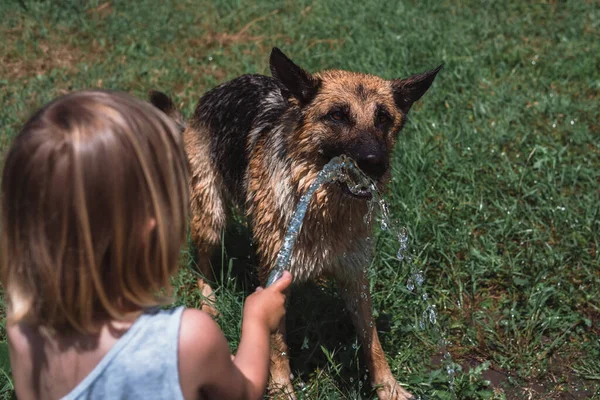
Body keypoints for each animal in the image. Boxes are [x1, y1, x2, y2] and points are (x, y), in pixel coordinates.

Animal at [150, 48, 440, 398]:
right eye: (337, 116)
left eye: (383, 118)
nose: (375, 163)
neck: (323, 206)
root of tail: (214, 92)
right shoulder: (275, 276)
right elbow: (277, 344)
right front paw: (281, 388)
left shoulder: (355, 276)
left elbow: (372, 340)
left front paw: (389, 388)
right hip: (212, 217)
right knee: (201, 262)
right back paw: (209, 303)